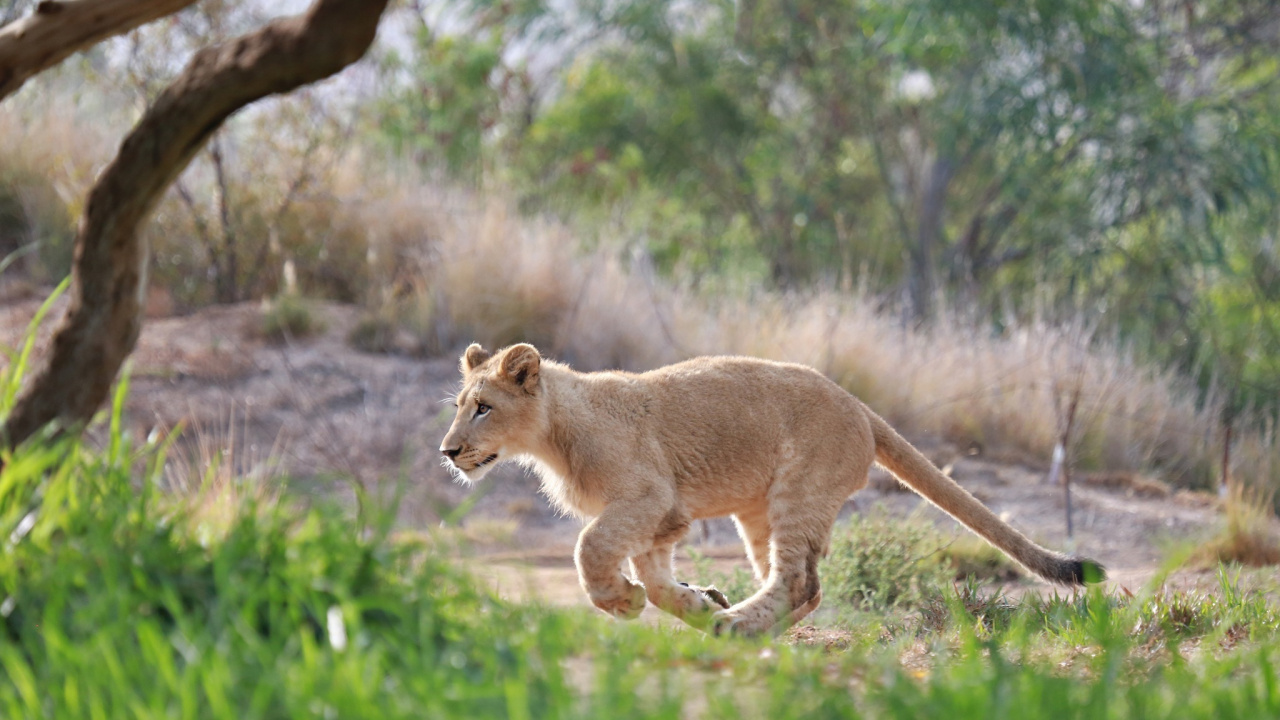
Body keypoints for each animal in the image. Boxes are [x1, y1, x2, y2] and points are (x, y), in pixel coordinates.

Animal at [440, 343, 1104, 637]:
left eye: (484, 408)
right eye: (458, 406)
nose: (448, 451)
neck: (551, 435)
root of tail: (861, 407)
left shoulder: (646, 496)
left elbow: (592, 548)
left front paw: (619, 601)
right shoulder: (665, 513)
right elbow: (655, 574)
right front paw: (694, 600)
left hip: (798, 492)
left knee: (800, 579)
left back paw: (737, 626)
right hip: (758, 510)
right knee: (801, 586)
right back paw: (742, 624)